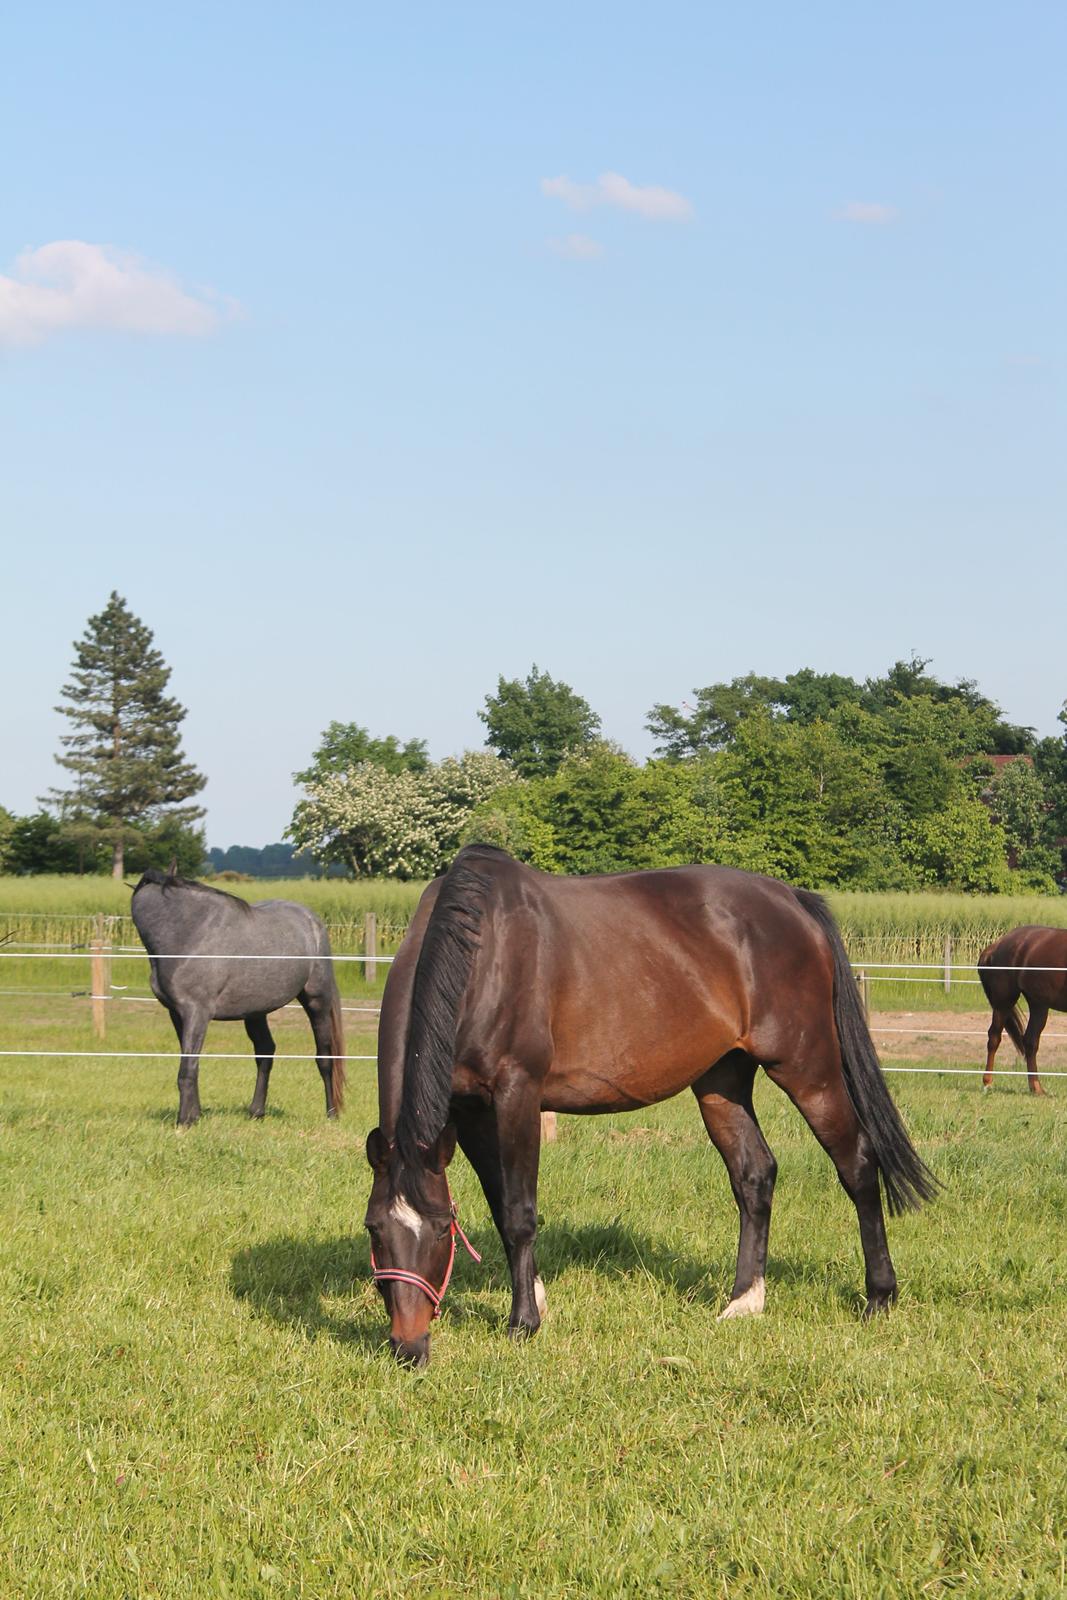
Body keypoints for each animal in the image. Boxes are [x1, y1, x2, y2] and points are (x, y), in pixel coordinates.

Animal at [129, 864, 347, 1126]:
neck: (189, 934)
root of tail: (312, 920)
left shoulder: (197, 1012)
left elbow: (187, 1069)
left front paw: (184, 1121)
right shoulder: (176, 1013)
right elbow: (192, 1063)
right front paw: (195, 1115)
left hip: (317, 1002)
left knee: (324, 1058)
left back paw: (331, 1114)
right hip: (256, 1011)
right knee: (265, 1052)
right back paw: (256, 1111)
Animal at [364, 851, 934, 1363]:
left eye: (442, 1229)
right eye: (374, 1229)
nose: (408, 1348)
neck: (483, 956)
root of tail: (794, 900)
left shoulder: (516, 1093)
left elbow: (520, 1212)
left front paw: (523, 1323)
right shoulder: (468, 1110)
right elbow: (501, 1206)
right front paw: (537, 1303)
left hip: (807, 1066)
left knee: (856, 1162)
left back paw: (879, 1296)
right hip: (721, 1080)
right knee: (755, 1174)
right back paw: (744, 1301)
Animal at [979, 921, 1067, 1094]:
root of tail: (996, 945)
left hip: (1038, 1004)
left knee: (1030, 1042)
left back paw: (1036, 1088)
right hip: (1004, 1001)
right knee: (994, 1037)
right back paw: (987, 1082)